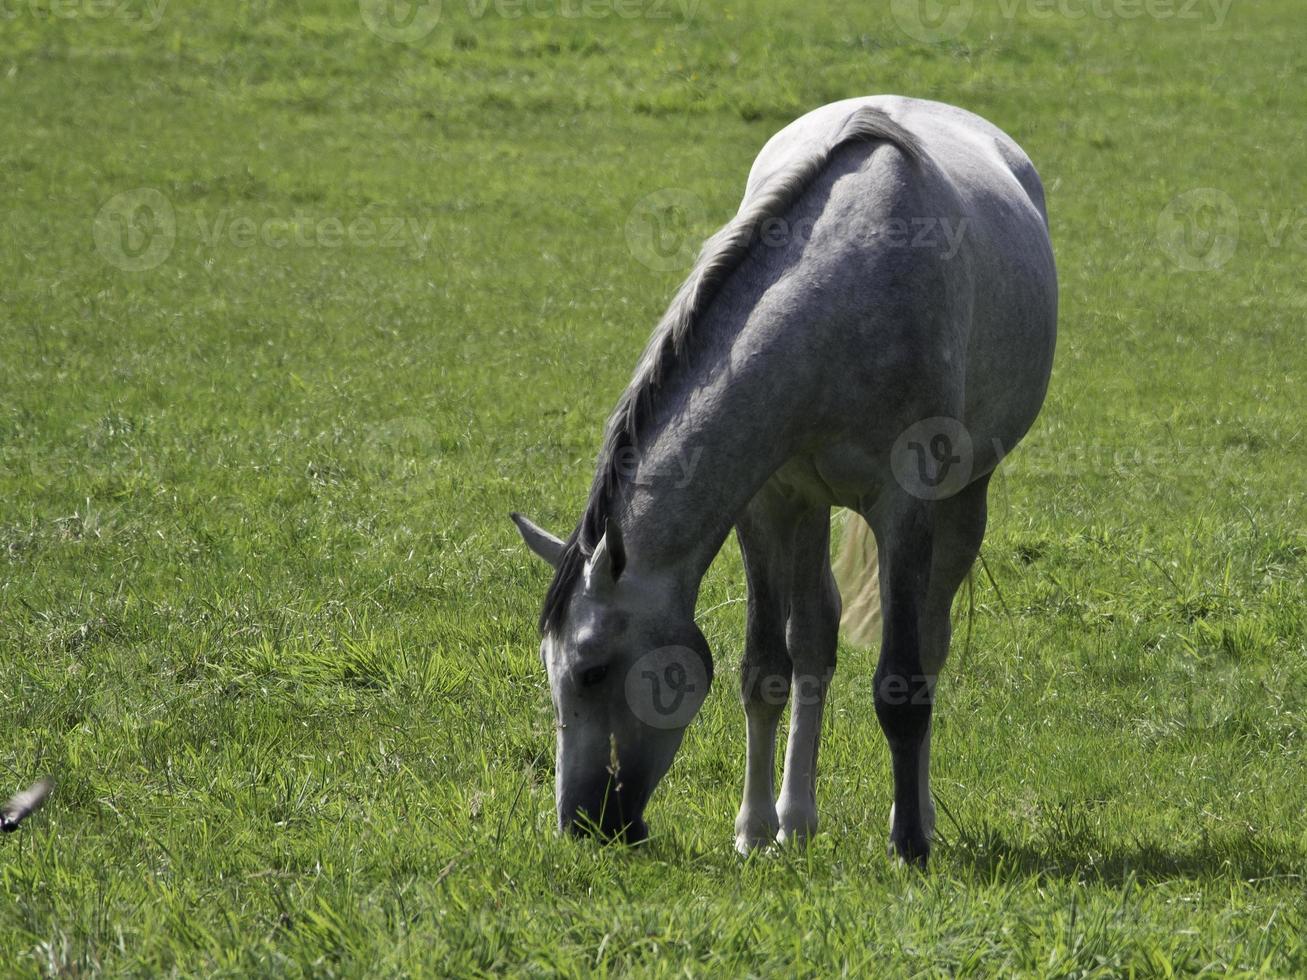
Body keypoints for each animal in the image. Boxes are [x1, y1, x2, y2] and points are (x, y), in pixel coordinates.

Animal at [504, 96, 1056, 872]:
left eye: (589, 670)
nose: (579, 823)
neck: (841, 301)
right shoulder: (768, 502)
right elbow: (766, 669)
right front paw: (754, 829)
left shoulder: (905, 506)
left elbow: (901, 684)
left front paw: (908, 845)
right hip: (811, 510)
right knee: (815, 642)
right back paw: (797, 820)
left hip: (961, 503)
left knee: (929, 644)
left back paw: (911, 813)